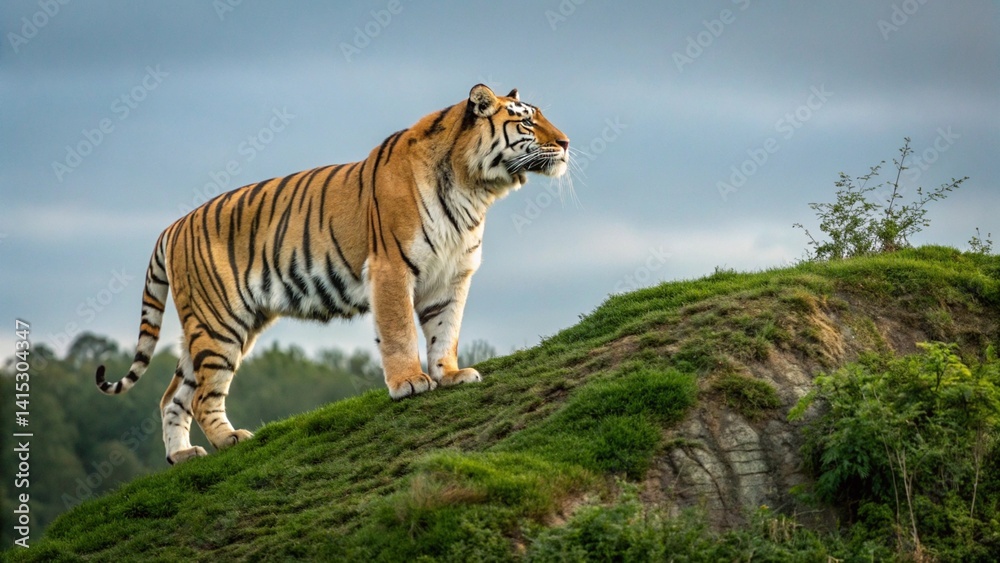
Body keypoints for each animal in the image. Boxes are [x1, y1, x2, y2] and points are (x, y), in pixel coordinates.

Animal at [94, 84, 570, 464]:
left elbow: (445, 331)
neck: (475, 188)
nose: (566, 143)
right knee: (202, 394)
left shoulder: (451, 277)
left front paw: (450, 375)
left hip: (217, 326)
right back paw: (230, 439)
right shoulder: (392, 267)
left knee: (172, 395)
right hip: (220, 322)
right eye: (526, 122)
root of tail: (171, 227)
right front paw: (410, 383)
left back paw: (182, 455)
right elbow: (399, 331)